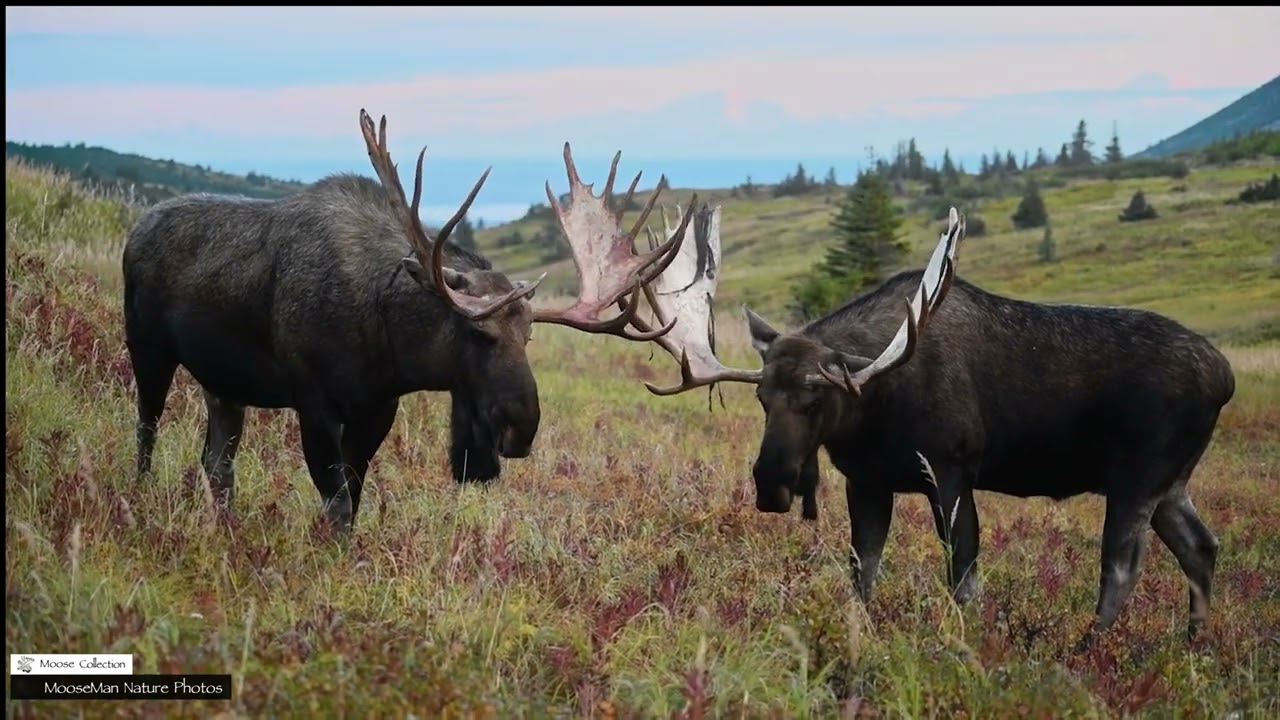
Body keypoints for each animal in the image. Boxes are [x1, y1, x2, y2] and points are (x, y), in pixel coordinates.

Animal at [121, 109, 698, 532]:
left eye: (529, 335)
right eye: (479, 333)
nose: (521, 427)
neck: (387, 344)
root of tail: (137, 227)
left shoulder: (378, 407)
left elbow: (351, 495)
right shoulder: (313, 400)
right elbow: (337, 502)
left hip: (224, 384)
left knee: (216, 462)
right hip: (147, 349)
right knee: (146, 432)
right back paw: (139, 501)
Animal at [632, 205, 1235, 645]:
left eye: (816, 396)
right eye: (761, 396)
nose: (771, 484)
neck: (874, 410)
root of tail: (1224, 377)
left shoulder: (951, 471)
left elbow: (963, 576)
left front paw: (963, 644)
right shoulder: (866, 480)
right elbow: (861, 573)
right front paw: (859, 636)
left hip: (1138, 474)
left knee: (1122, 566)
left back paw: (1089, 649)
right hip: (1171, 482)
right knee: (1201, 547)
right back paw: (1195, 644)